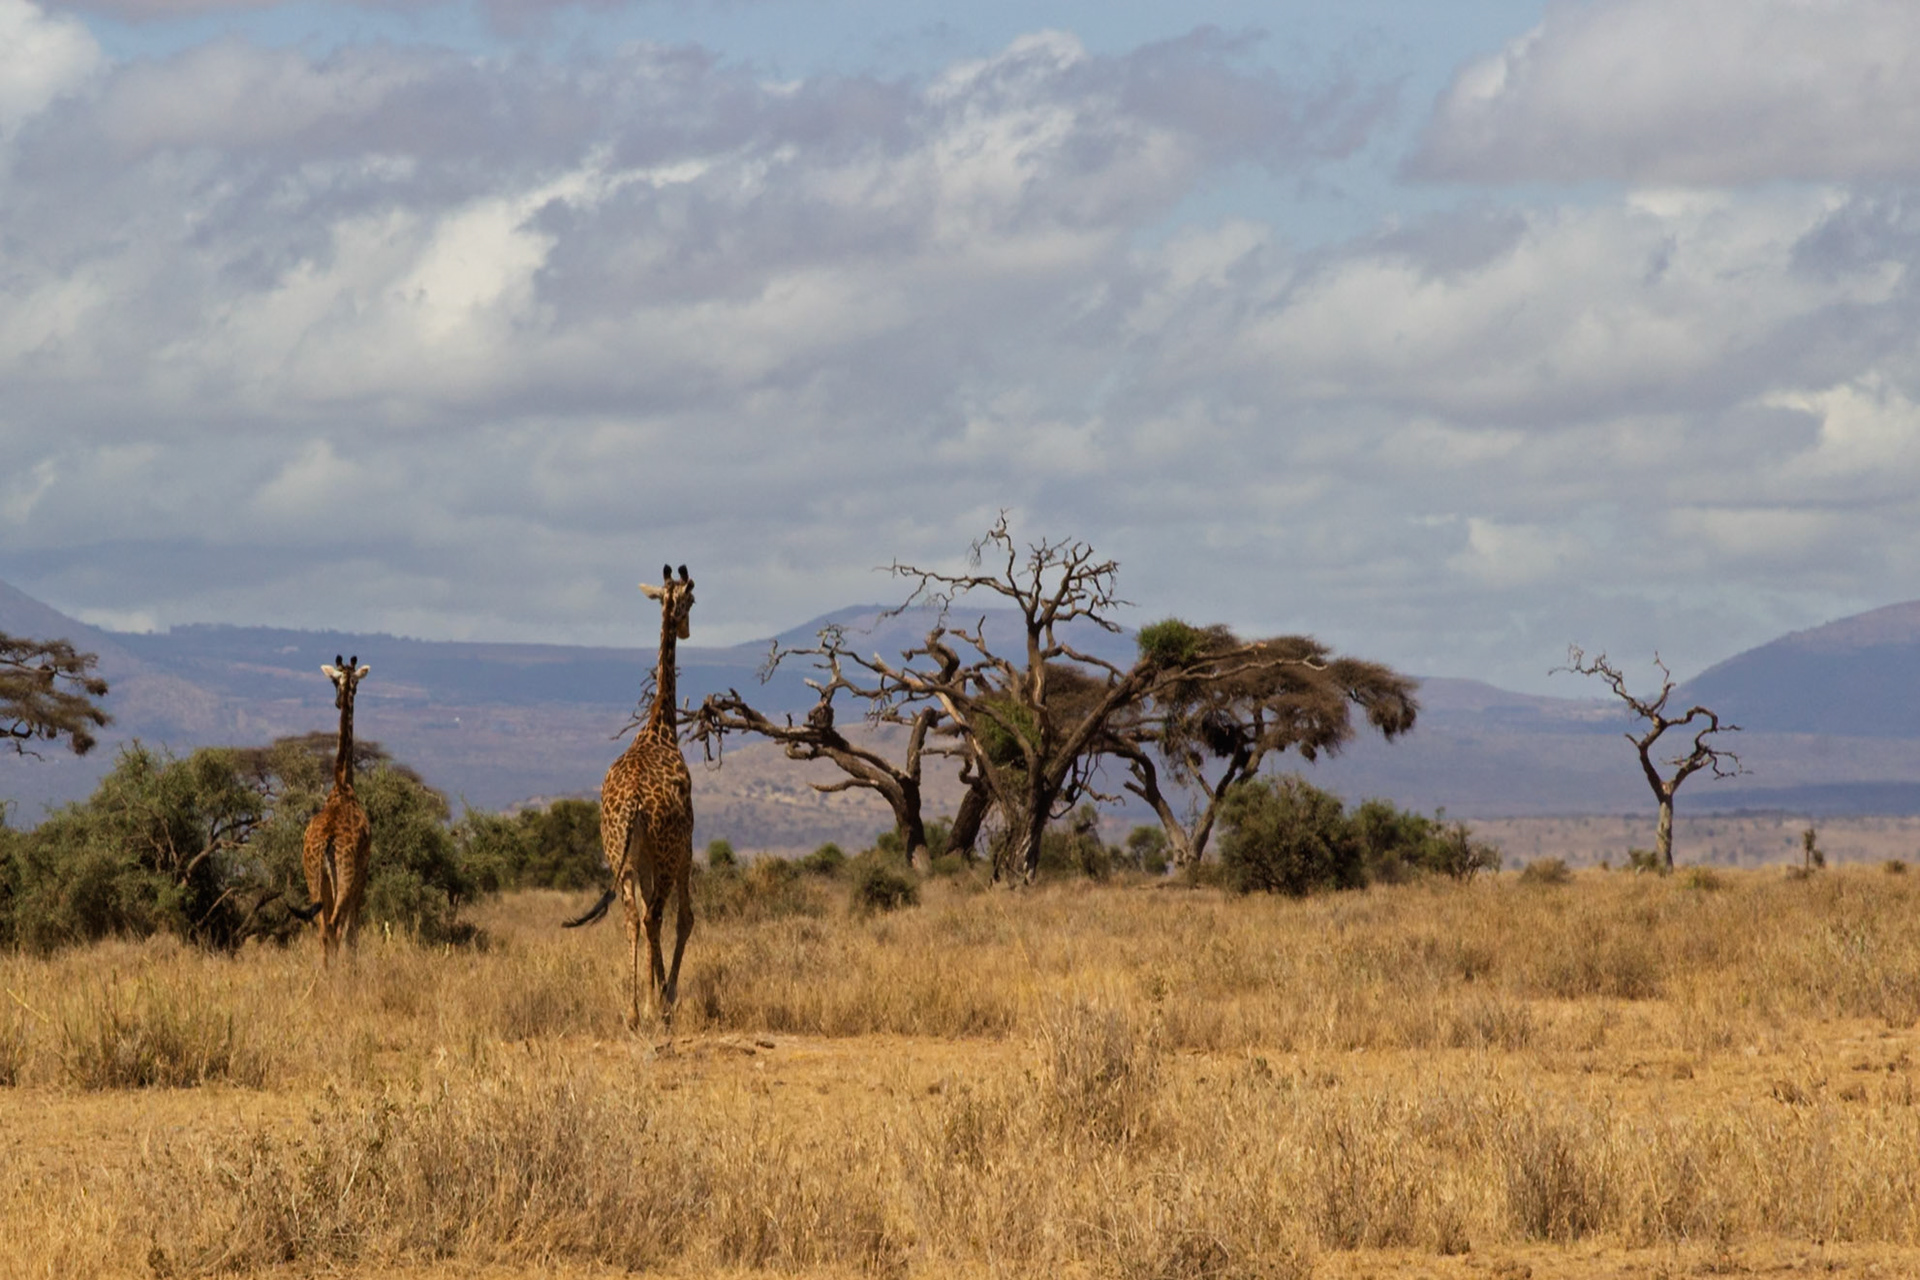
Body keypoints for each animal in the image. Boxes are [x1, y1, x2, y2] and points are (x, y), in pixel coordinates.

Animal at [291, 655, 372, 968]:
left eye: (335, 682)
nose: (339, 702)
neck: (342, 784)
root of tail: (326, 841)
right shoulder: (363, 870)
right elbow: (353, 930)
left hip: (314, 874)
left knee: (323, 928)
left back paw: (325, 973)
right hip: (345, 874)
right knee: (337, 925)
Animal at [566, 564, 697, 1028]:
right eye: (692, 601)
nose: (687, 629)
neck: (660, 726)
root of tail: (636, 803)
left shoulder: (638, 857)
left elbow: (644, 916)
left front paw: (653, 992)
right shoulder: (684, 846)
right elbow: (684, 918)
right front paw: (667, 995)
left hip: (618, 855)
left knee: (630, 918)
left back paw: (634, 1010)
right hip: (665, 851)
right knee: (655, 914)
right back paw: (656, 1007)